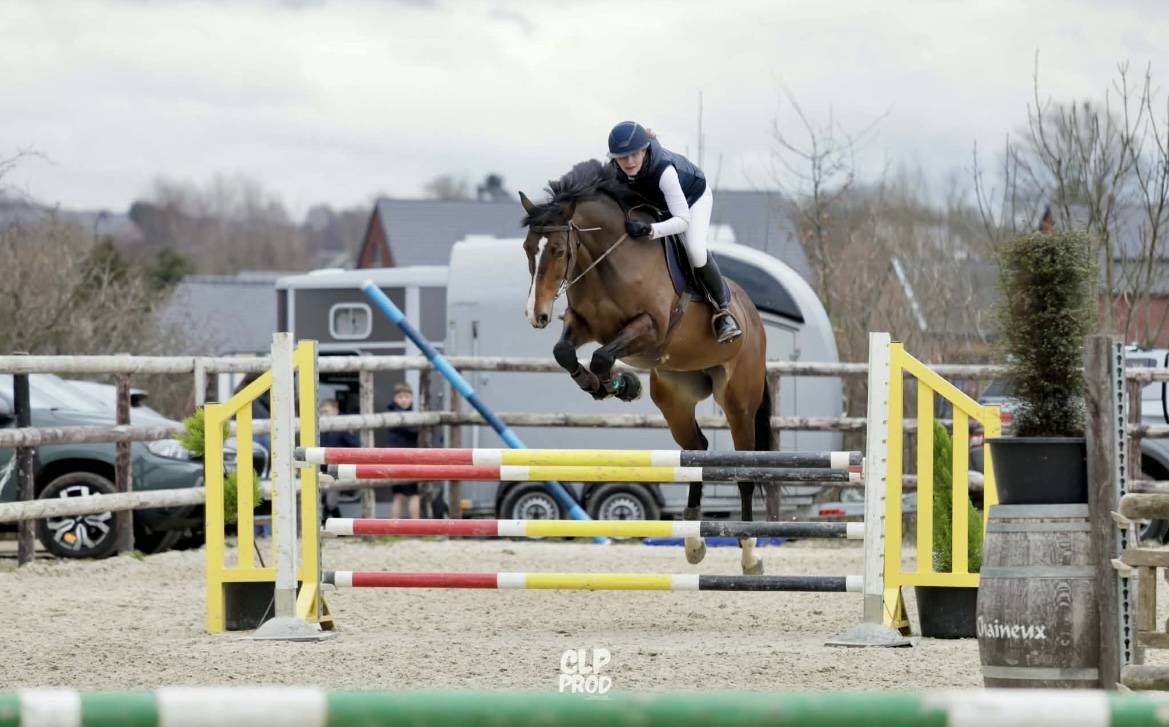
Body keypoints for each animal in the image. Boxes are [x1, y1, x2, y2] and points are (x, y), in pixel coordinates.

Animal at [519, 160, 778, 575]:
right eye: (528, 248)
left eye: (558, 250)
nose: (536, 315)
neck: (605, 263)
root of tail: (753, 316)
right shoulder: (582, 324)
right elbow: (566, 353)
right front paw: (610, 386)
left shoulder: (650, 328)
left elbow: (602, 356)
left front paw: (619, 385)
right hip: (674, 396)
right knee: (697, 450)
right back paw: (693, 542)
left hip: (739, 400)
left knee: (744, 468)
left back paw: (750, 553)